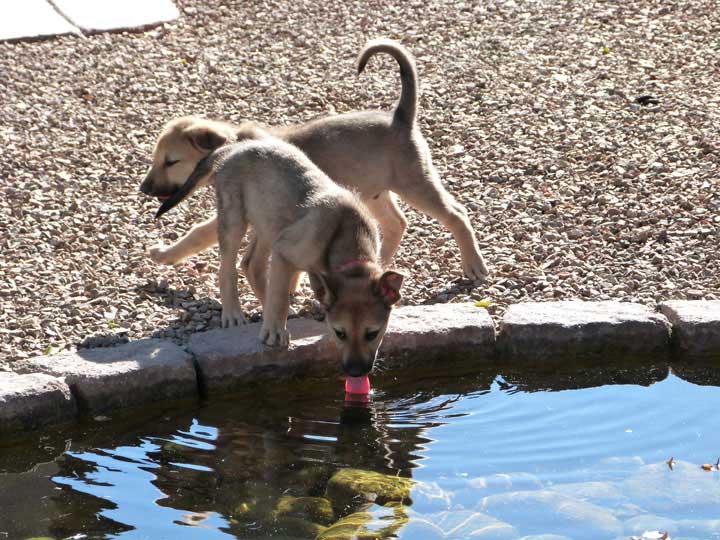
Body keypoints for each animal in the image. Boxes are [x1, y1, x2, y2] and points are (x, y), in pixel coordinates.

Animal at [141, 40, 490, 280]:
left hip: (415, 183)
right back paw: (381, 263)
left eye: (170, 162)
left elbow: (199, 232)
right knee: (397, 224)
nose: (144, 189)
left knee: (456, 214)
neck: (232, 142)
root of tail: (400, 119)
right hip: (375, 192)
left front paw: (164, 254)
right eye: (157, 159)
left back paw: (473, 264)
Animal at [156, 137, 404, 378]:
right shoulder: (285, 251)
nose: (355, 373)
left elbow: (280, 288)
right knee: (228, 268)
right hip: (235, 217)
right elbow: (281, 296)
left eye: (372, 334)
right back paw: (233, 313)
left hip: (268, 223)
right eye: (340, 333)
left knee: (251, 264)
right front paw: (275, 332)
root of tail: (235, 146)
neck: (350, 239)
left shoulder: (285, 249)